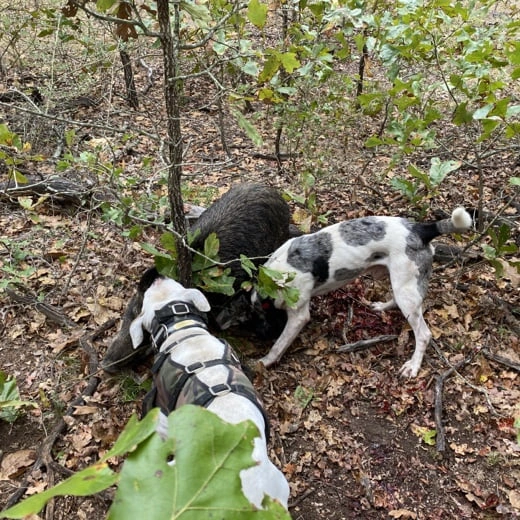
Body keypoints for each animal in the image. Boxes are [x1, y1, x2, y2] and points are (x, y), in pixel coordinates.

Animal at [250, 207, 474, 378]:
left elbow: (278, 345)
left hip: (406, 291)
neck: (275, 277)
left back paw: (413, 366)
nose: (259, 336)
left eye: (258, 318)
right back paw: (381, 306)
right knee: (396, 299)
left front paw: (264, 361)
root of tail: (420, 228)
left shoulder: (298, 316)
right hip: (399, 282)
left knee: (424, 334)